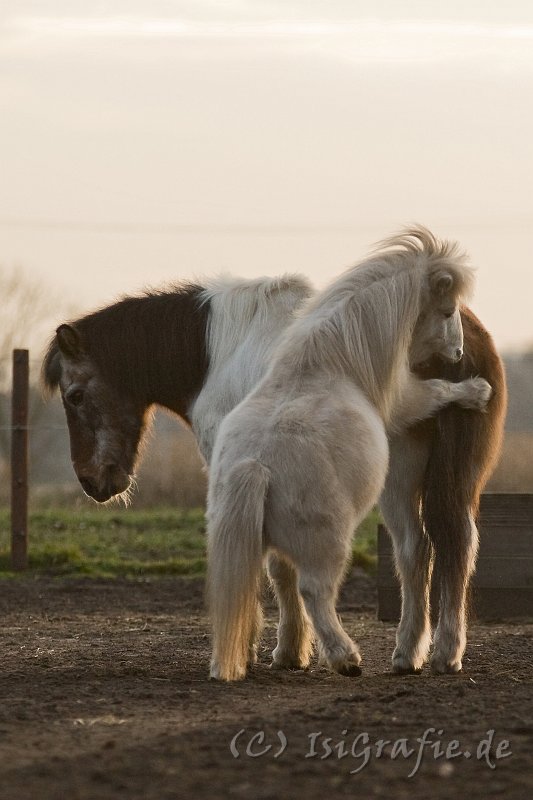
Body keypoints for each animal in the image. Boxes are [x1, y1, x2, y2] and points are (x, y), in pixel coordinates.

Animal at [207, 230, 490, 680]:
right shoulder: (404, 401)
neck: (332, 358)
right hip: (328, 547)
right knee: (315, 592)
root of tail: (254, 468)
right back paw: (346, 658)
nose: (460, 354)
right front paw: (477, 391)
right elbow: (437, 391)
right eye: (447, 311)